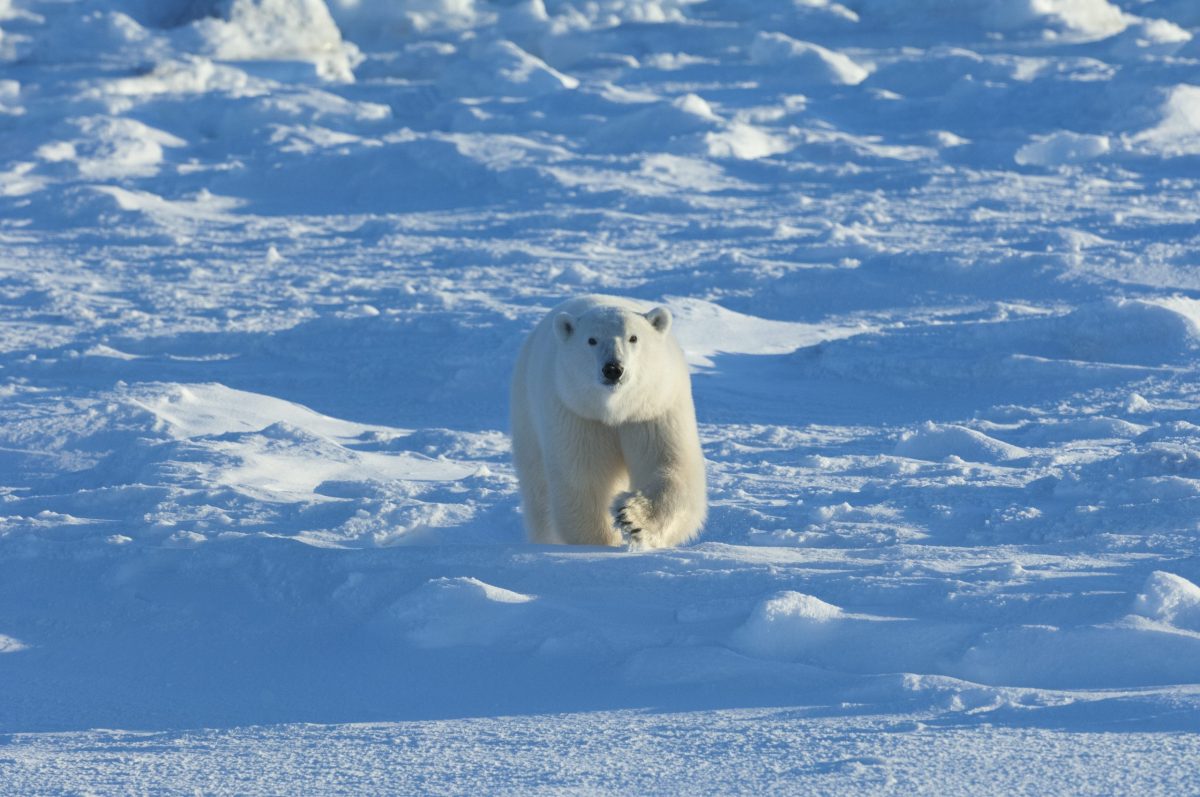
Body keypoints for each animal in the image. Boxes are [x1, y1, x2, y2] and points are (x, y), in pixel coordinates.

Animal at [511, 292, 705, 547]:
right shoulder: (580, 414)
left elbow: (669, 465)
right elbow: (586, 479)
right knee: (538, 490)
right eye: (591, 340)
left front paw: (631, 518)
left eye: (633, 337)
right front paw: (599, 542)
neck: (616, 410)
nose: (613, 369)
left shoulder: (652, 410)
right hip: (527, 414)